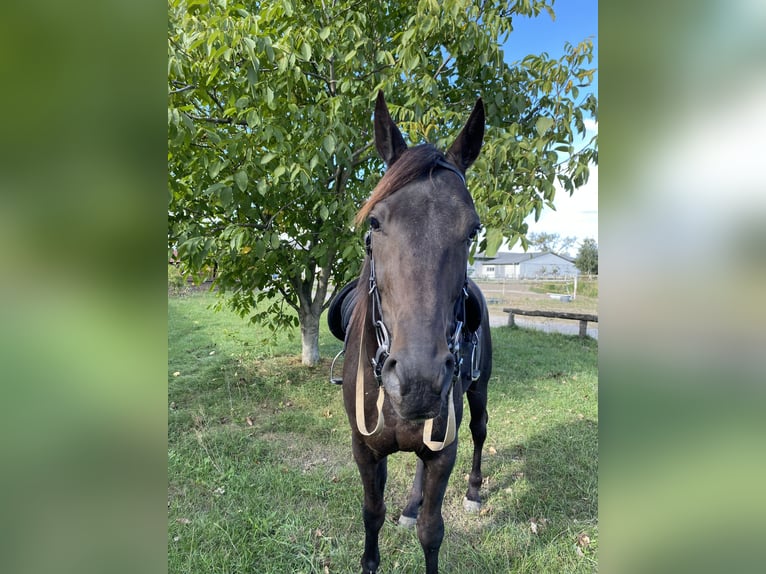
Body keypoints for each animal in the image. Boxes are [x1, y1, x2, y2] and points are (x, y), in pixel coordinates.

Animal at [328, 92, 496, 572]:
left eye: (473, 229)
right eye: (374, 222)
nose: (419, 382)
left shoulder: (444, 449)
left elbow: (431, 531)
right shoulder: (365, 450)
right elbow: (372, 512)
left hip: (478, 391)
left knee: (480, 430)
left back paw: (474, 492)